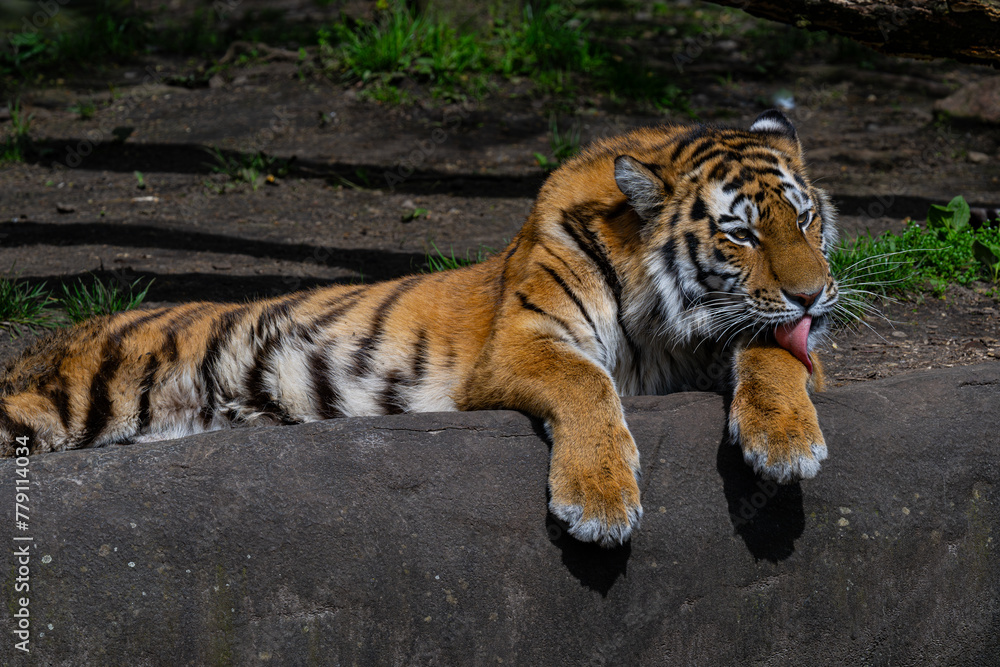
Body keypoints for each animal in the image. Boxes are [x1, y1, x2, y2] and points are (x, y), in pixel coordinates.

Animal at [0, 109, 838, 548]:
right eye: (741, 234)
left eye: (803, 219)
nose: (814, 294)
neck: (668, 316)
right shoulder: (523, 342)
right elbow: (590, 384)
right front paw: (598, 502)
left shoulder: (755, 339)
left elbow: (774, 354)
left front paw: (784, 442)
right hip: (64, 398)